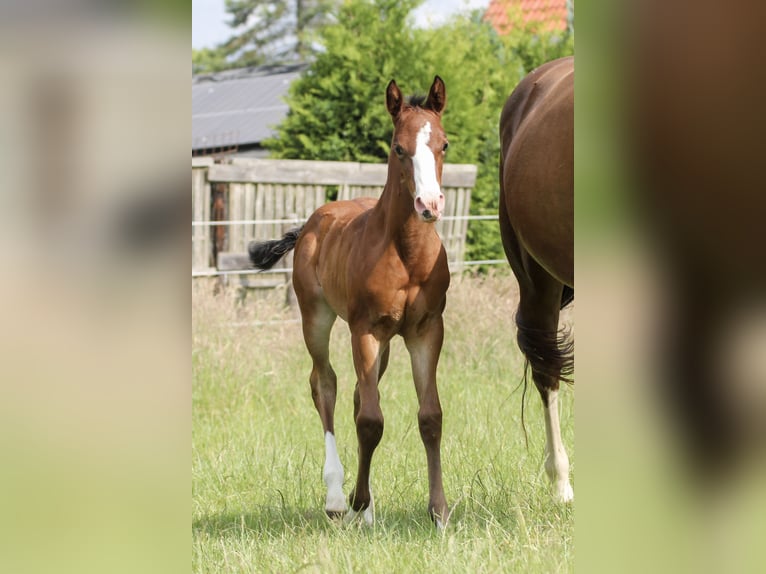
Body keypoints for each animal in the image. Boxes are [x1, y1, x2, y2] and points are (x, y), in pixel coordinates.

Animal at [248, 76, 451, 527]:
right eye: (398, 148)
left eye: (444, 144)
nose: (428, 205)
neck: (407, 254)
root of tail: (311, 223)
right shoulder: (365, 329)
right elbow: (371, 420)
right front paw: (358, 501)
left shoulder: (425, 330)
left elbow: (429, 416)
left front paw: (439, 511)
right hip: (317, 319)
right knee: (326, 385)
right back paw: (339, 499)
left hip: (386, 341)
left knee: (360, 393)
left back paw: (368, 508)